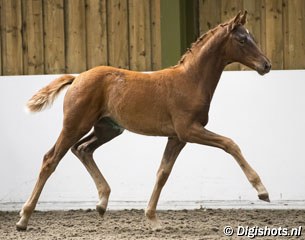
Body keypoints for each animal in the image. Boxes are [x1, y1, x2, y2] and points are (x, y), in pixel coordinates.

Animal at [17, 11, 268, 231]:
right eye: (243, 39)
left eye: (253, 37)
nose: (266, 65)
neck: (191, 80)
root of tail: (77, 77)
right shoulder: (188, 130)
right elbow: (230, 144)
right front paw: (262, 190)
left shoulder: (176, 137)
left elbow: (163, 173)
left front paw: (152, 218)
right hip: (75, 125)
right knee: (51, 159)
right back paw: (23, 219)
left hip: (108, 129)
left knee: (83, 149)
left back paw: (102, 203)